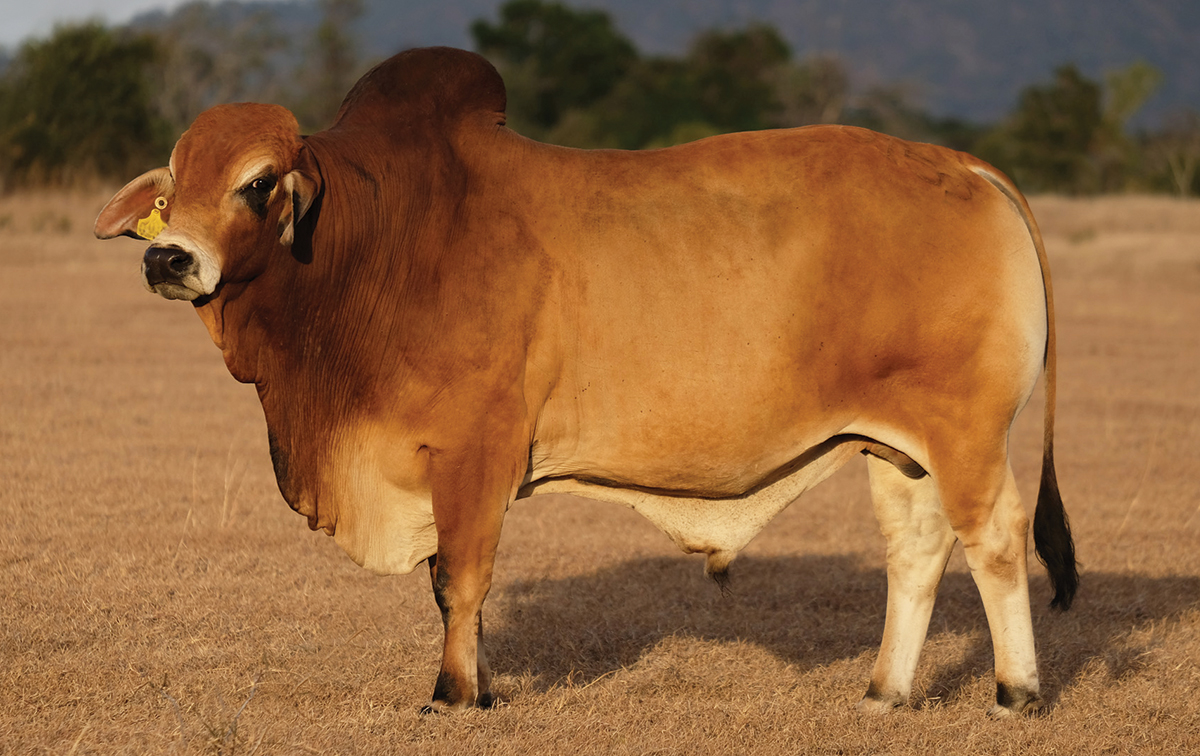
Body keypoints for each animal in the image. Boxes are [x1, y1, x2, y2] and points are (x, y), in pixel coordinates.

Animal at [95, 46, 1076, 716]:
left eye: (259, 184)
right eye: (170, 186)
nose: (169, 260)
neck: (381, 240)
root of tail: (964, 165)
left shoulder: (476, 453)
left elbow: (460, 580)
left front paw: (456, 694)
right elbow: (454, 583)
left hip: (966, 433)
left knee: (994, 539)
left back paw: (1016, 692)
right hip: (894, 445)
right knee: (916, 550)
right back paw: (884, 691)